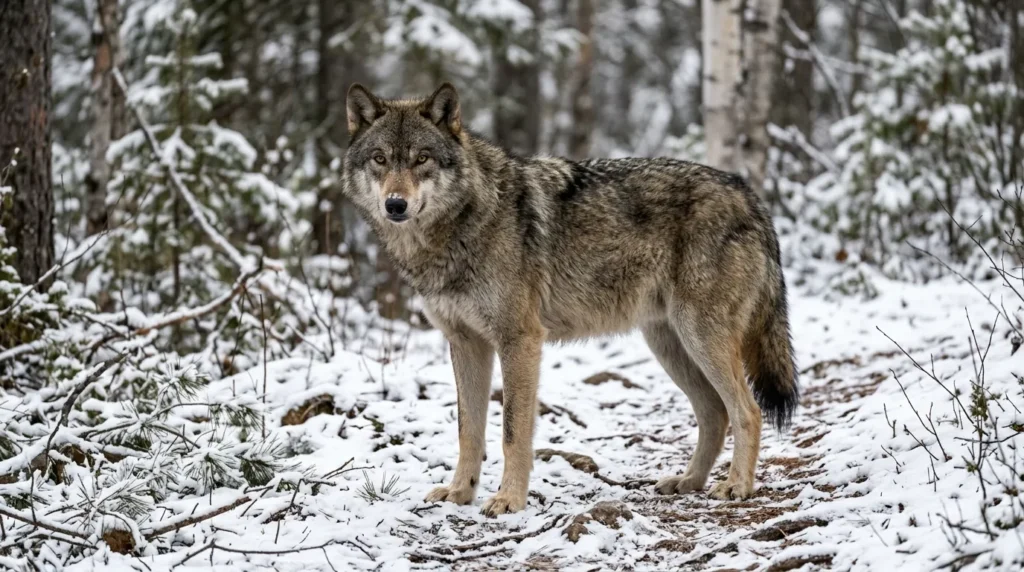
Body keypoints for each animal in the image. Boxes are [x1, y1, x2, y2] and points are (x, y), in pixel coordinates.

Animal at [342, 83, 798, 516]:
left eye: (422, 159)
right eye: (380, 159)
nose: (395, 204)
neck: (461, 226)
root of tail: (750, 196)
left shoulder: (520, 340)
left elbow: (512, 432)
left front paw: (509, 500)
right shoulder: (466, 344)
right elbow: (468, 430)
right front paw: (460, 493)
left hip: (700, 338)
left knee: (747, 411)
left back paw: (736, 486)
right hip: (670, 345)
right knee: (714, 413)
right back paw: (689, 481)